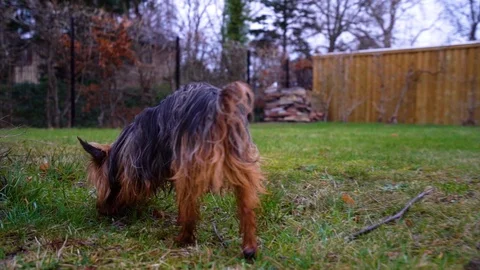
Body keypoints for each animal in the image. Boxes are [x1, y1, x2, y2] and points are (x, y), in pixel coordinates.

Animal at [79, 80, 266, 260]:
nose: (101, 211)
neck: (119, 153)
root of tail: (219, 104)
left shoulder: (136, 168)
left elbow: (129, 190)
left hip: (189, 167)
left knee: (190, 208)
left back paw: (183, 239)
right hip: (240, 160)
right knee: (247, 206)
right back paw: (250, 248)